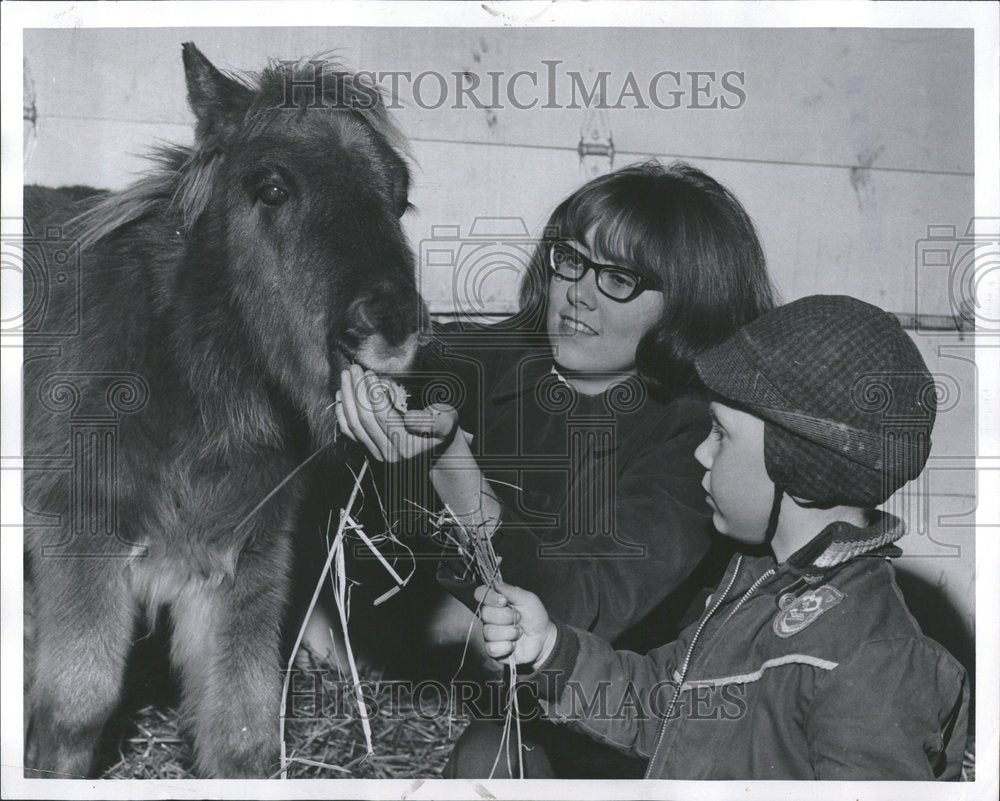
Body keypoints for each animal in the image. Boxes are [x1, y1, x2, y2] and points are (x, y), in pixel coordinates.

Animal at [23, 42, 430, 776]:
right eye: (271, 187)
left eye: (399, 197)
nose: (391, 328)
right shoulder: (76, 538)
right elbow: (75, 709)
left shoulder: (239, 564)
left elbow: (242, 733)